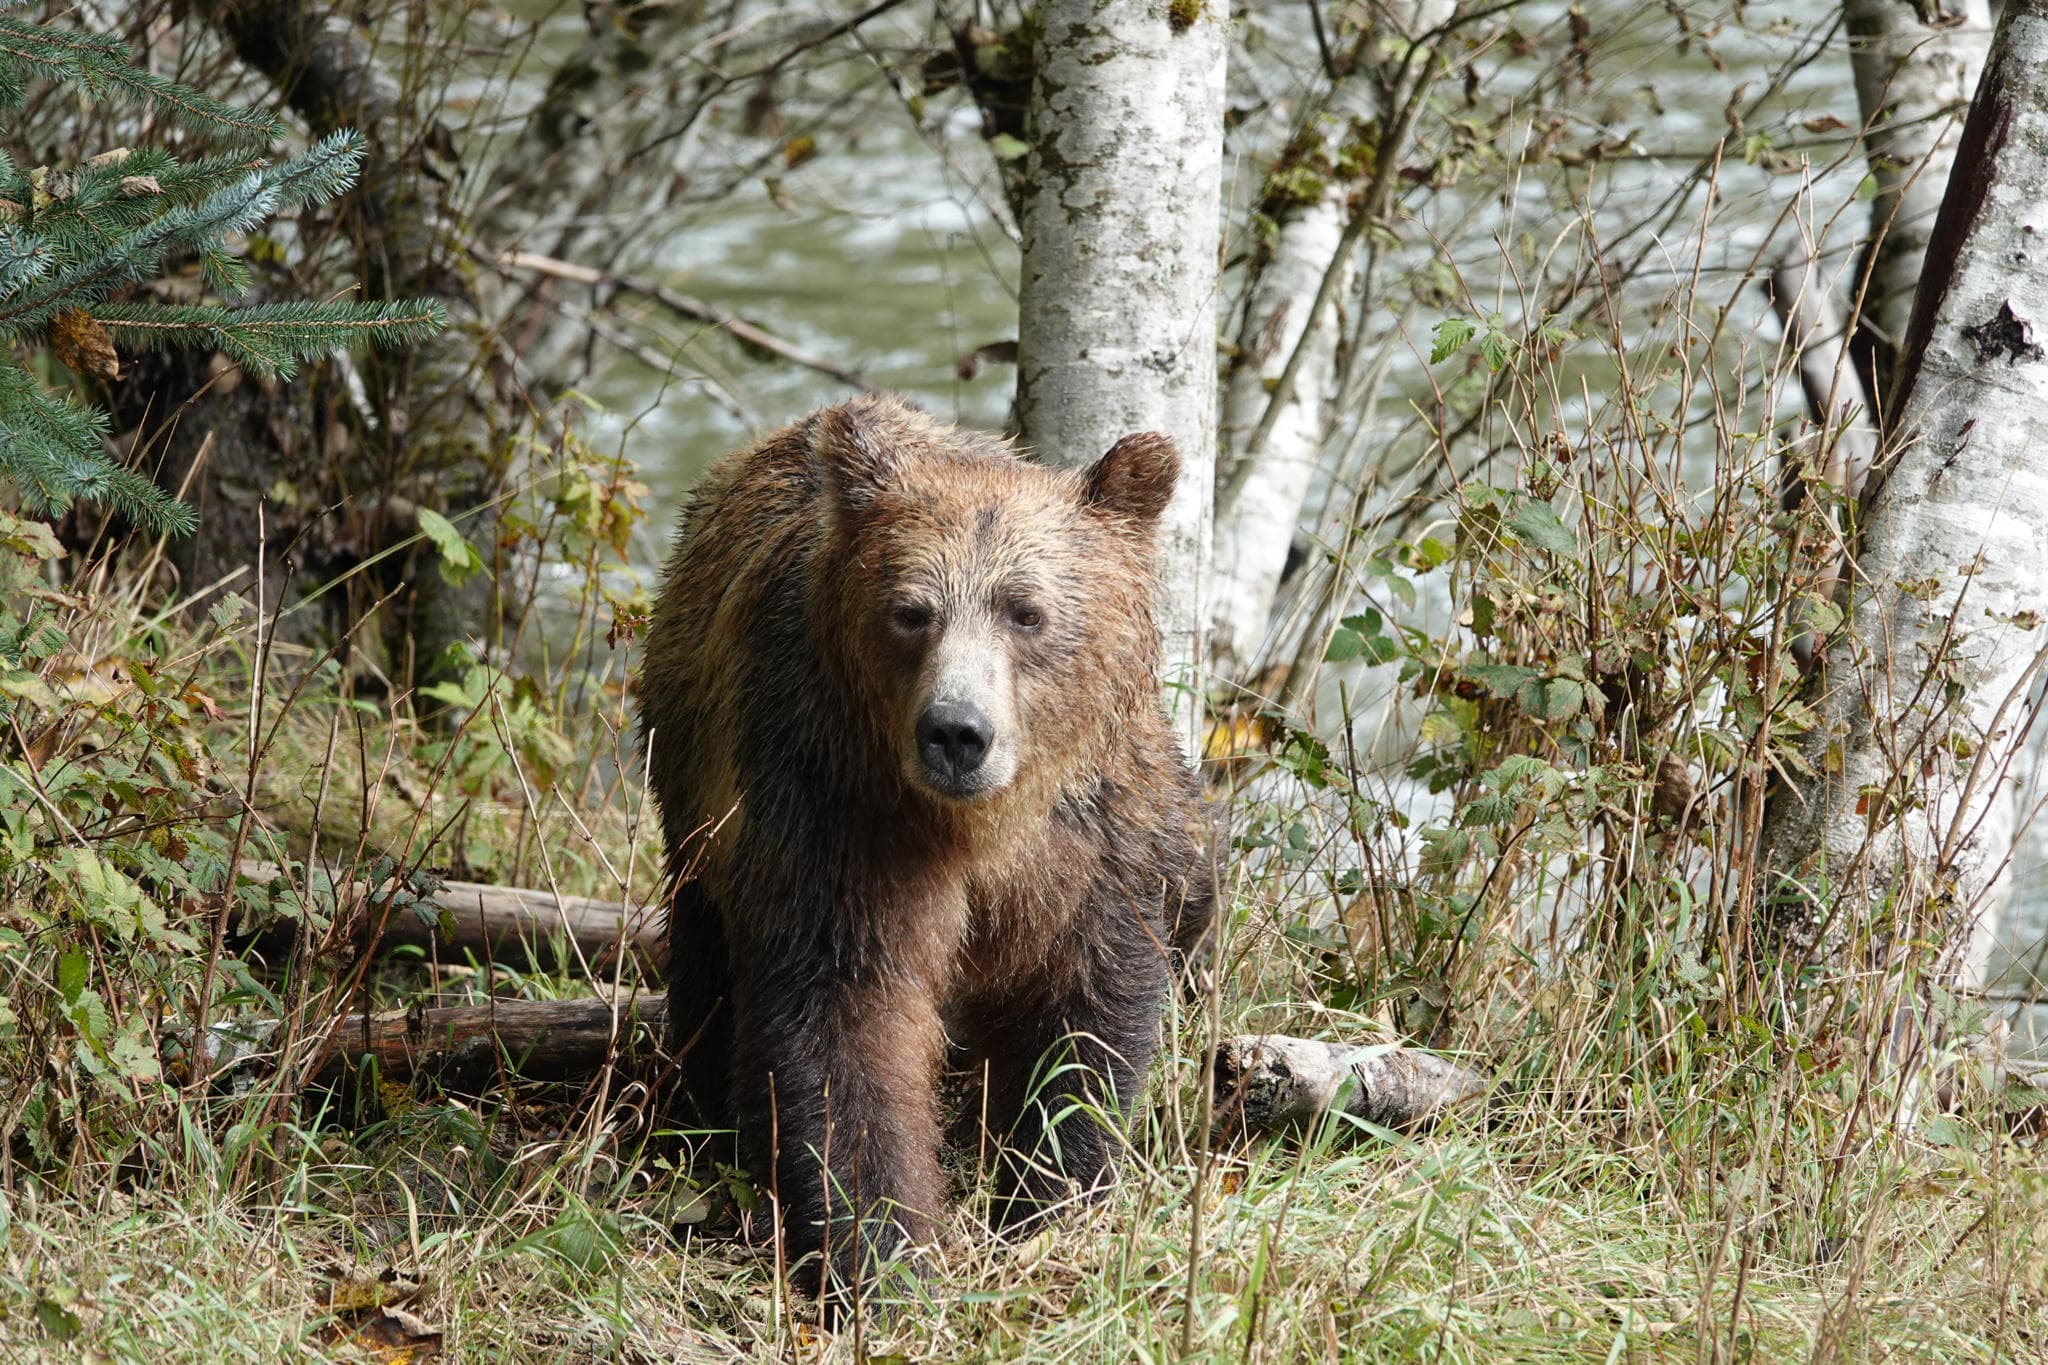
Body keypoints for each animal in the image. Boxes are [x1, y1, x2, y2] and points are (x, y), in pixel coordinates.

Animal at [639, 394, 1212, 1307]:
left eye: (1026, 610)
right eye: (911, 610)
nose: (956, 732)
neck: (978, 827)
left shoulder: (1093, 838)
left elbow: (1084, 1016)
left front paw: (1047, 1197)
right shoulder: (834, 809)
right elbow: (844, 1017)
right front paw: (881, 1251)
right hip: (692, 778)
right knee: (706, 965)